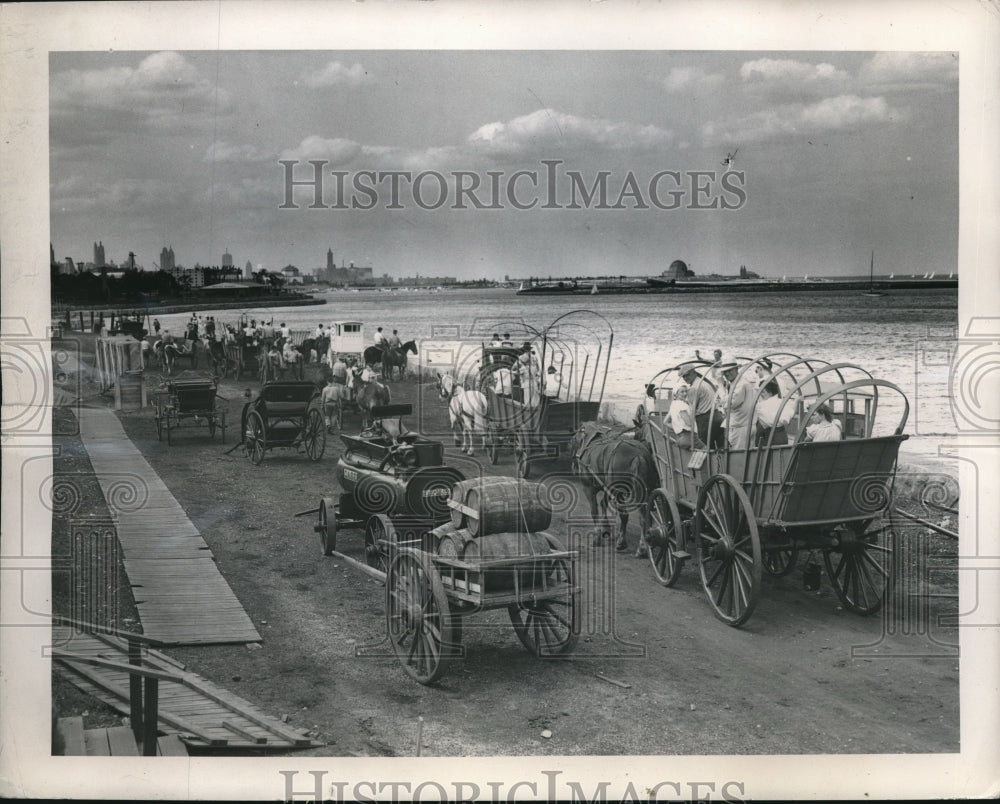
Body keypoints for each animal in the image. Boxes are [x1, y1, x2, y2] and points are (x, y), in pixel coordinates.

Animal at [568, 420, 660, 560]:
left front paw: (597, 537)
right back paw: (642, 547)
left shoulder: (588, 487)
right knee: (644, 518)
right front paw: (605, 528)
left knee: (625, 515)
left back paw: (624, 544)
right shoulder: (607, 486)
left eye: (574, 441)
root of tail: (638, 456)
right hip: (644, 491)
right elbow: (603, 503)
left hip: (619, 492)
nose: (574, 466)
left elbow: (594, 511)